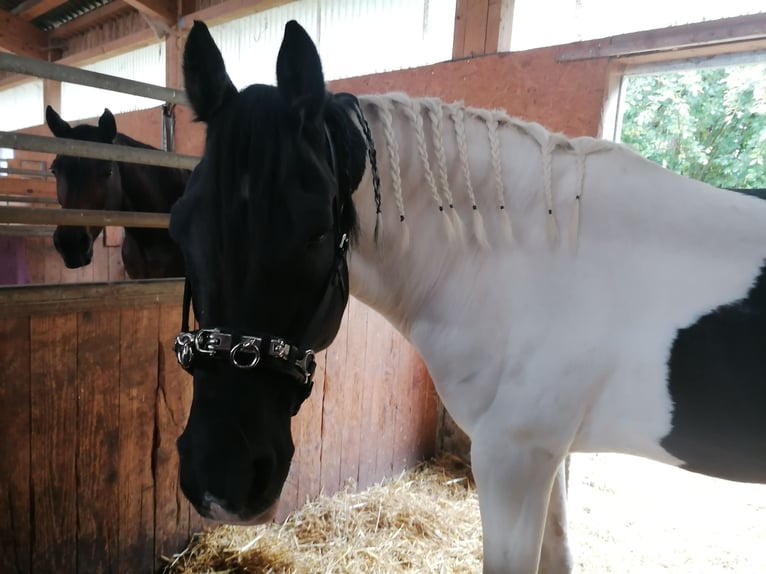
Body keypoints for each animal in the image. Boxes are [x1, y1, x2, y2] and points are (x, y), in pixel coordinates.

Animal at [168, 20, 766, 572]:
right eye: (179, 226)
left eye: (315, 231)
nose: (220, 479)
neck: (531, 262)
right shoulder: (548, 454)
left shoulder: (512, 458)